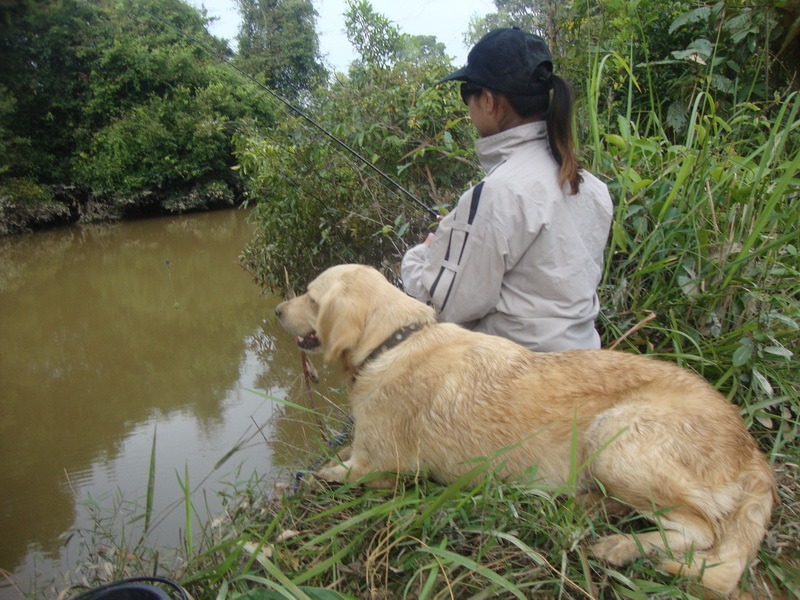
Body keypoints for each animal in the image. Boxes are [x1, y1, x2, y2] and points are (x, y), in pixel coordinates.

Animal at [276, 264, 776, 596]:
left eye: (311, 297)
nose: (279, 309)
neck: (394, 340)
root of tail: (754, 452)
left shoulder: (376, 468)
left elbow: (323, 474)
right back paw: (588, 507)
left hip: (615, 437)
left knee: (700, 533)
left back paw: (622, 546)